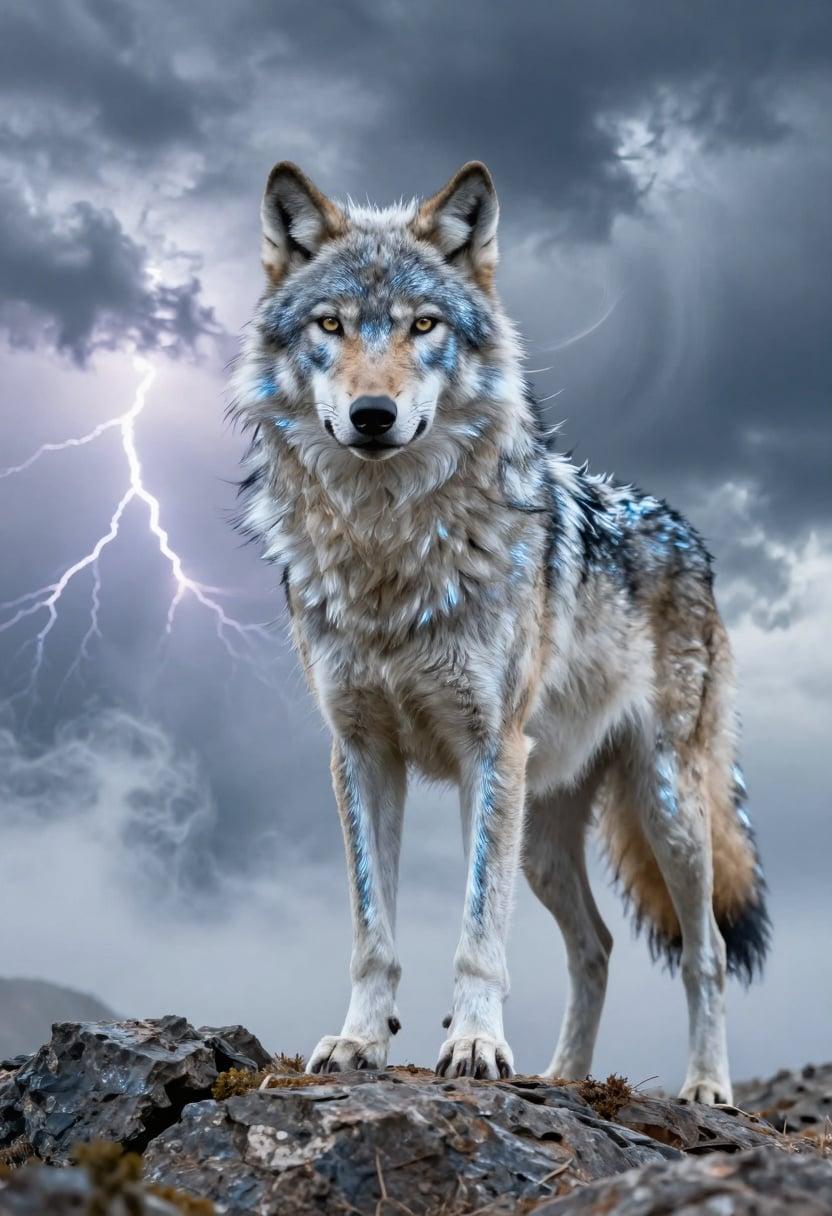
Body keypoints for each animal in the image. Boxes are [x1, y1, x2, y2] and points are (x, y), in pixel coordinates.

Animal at [231, 160, 770, 1102]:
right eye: (331, 324)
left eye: (424, 324)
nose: (373, 414)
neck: (389, 553)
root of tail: (687, 533)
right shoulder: (362, 753)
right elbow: (374, 933)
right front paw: (359, 1043)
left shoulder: (488, 751)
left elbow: (478, 937)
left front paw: (477, 1048)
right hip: (542, 832)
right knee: (597, 945)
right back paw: (564, 1075)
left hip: (662, 807)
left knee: (701, 951)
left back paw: (706, 1088)